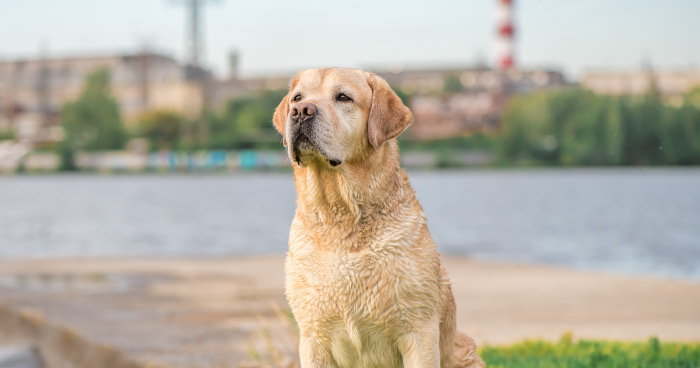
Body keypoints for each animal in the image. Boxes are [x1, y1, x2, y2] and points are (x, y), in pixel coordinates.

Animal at [274, 67, 486, 366]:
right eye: (297, 97)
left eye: (343, 97)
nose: (300, 111)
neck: (343, 216)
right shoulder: (313, 337)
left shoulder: (419, 332)